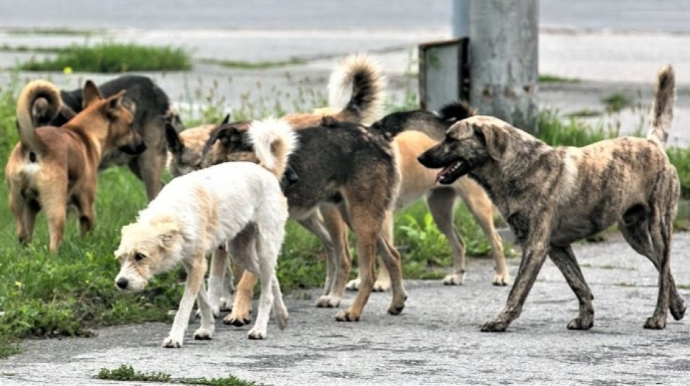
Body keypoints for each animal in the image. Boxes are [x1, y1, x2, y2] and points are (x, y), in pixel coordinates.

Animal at [5, 80, 144, 252]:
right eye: (131, 124)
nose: (144, 145)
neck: (84, 133)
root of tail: (34, 145)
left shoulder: (31, 207)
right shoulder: (86, 207)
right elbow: (87, 231)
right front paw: (87, 247)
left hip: (18, 204)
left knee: (23, 235)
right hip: (56, 207)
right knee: (54, 239)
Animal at [113, 117, 296, 346]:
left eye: (140, 256)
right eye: (121, 258)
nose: (121, 283)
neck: (171, 214)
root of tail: (266, 171)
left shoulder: (198, 265)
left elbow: (185, 305)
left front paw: (175, 337)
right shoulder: (193, 265)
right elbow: (204, 301)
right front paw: (207, 329)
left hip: (264, 247)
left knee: (266, 291)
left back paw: (259, 329)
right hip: (240, 252)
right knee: (271, 279)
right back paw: (282, 316)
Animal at [346, 101, 508, 292]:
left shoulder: (383, 218)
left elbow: (382, 254)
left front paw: (381, 282)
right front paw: (360, 281)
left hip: (477, 207)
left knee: (496, 240)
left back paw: (502, 276)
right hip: (439, 211)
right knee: (459, 243)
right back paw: (457, 276)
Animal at [414, 65, 684, 332]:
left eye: (451, 139)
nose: (420, 157)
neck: (519, 166)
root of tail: (652, 144)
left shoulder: (535, 246)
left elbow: (518, 290)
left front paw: (501, 320)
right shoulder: (557, 246)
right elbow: (578, 284)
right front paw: (585, 318)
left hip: (659, 227)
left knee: (663, 271)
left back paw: (659, 317)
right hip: (634, 235)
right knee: (664, 268)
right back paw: (678, 304)